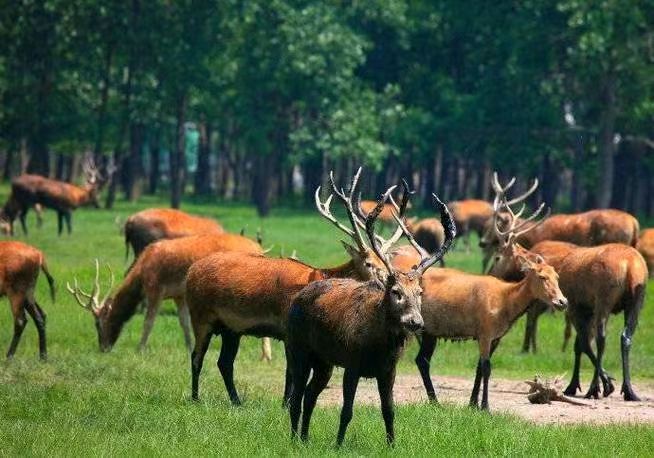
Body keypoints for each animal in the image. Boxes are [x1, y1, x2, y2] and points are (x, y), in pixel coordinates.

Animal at [65, 233, 262, 353]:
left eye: (98, 324)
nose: (103, 348)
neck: (142, 272)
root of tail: (260, 249)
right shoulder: (178, 295)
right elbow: (184, 322)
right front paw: (189, 346)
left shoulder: (155, 288)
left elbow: (149, 321)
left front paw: (140, 348)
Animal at [185, 169, 409, 405]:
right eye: (368, 263)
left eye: (387, 259)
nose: (389, 282)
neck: (319, 276)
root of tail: (191, 271)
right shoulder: (287, 327)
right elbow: (291, 371)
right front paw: (286, 403)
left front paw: (286, 401)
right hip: (200, 315)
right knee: (196, 356)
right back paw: (195, 397)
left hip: (231, 329)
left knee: (224, 362)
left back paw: (236, 401)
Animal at [287, 189, 455, 446]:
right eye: (395, 291)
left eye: (419, 292)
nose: (415, 322)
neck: (378, 346)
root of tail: (296, 299)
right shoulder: (351, 363)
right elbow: (346, 410)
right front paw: (338, 444)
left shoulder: (389, 370)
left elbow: (389, 410)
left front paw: (392, 444)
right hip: (298, 350)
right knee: (296, 397)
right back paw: (295, 440)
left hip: (324, 362)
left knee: (309, 394)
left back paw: (305, 438)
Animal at [487, 180, 648, 402]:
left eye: (497, 257)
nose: (490, 275)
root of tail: (631, 267)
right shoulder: (584, 308)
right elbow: (579, 344)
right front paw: (594, 383)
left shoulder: (573, 305)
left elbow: (582, 343)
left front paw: (596, 384)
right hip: (637, 300)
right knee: (625, 337)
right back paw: (629, 390)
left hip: (604, 298)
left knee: (602, 338)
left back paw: (594, 389)